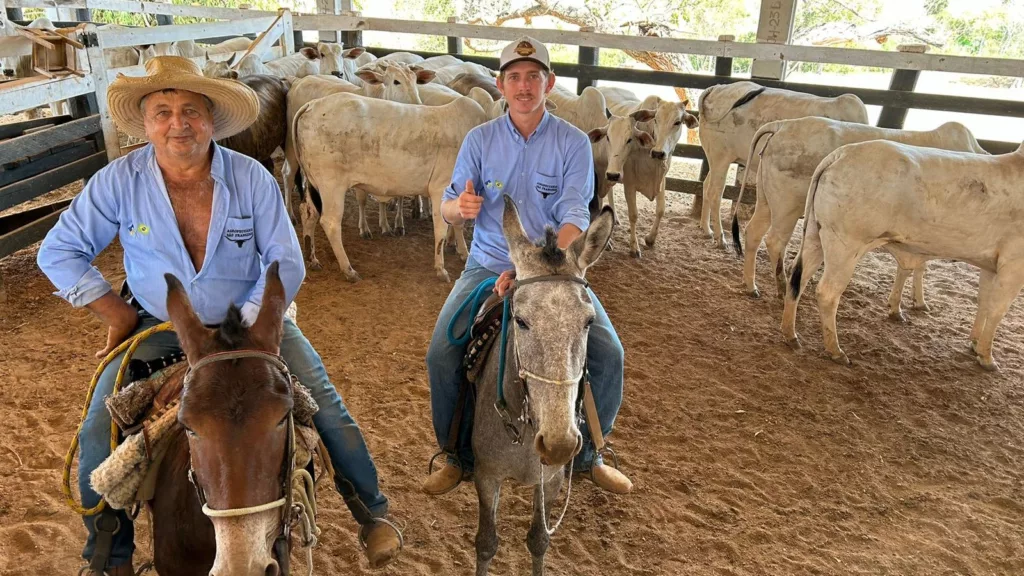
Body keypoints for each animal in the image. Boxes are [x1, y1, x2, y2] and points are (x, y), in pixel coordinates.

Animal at [292, 94, 483, 280]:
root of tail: (312, 104)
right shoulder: (440, 189)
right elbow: (441, 229)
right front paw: (441, 269)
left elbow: (458, 224)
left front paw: (464, 254)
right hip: (331, 185)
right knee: (330, 222)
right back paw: (348, 270)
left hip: (313, 183)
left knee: (308, 213)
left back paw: (312, 258)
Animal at [589, 86, 700, 254]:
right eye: (655, 119)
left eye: (677, 122)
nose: (658, 153)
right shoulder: (629, 183)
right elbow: (633, 214)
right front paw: (634, 246)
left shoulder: (662, 179)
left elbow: (661, 210)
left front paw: (650, 239)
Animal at [696, 79, 864, 243]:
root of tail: (716, 88)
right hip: (721, 156)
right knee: (715, 192)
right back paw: (720, 237)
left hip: (716, 158)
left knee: (705, 185)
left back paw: (706, 228)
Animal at [733, 115, 987, 305]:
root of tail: (783, 124)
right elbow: (916, 264)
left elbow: (918, 265)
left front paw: (917, 302)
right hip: (788, 206)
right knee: (775, 241)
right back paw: (782, 286)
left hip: (766, 199)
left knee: (754, 231)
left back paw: (751, 285)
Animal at [778, 141, 1019, 368]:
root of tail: (841, 153)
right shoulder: (1012, 266)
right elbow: (997, 310)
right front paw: (986, 357)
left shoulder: (991, 266)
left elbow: (984, 303)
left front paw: (975, 343)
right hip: (844, 246)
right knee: (827, 292)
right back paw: (835, 350)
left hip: (814, 236)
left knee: (797, 278)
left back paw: (790, 334)